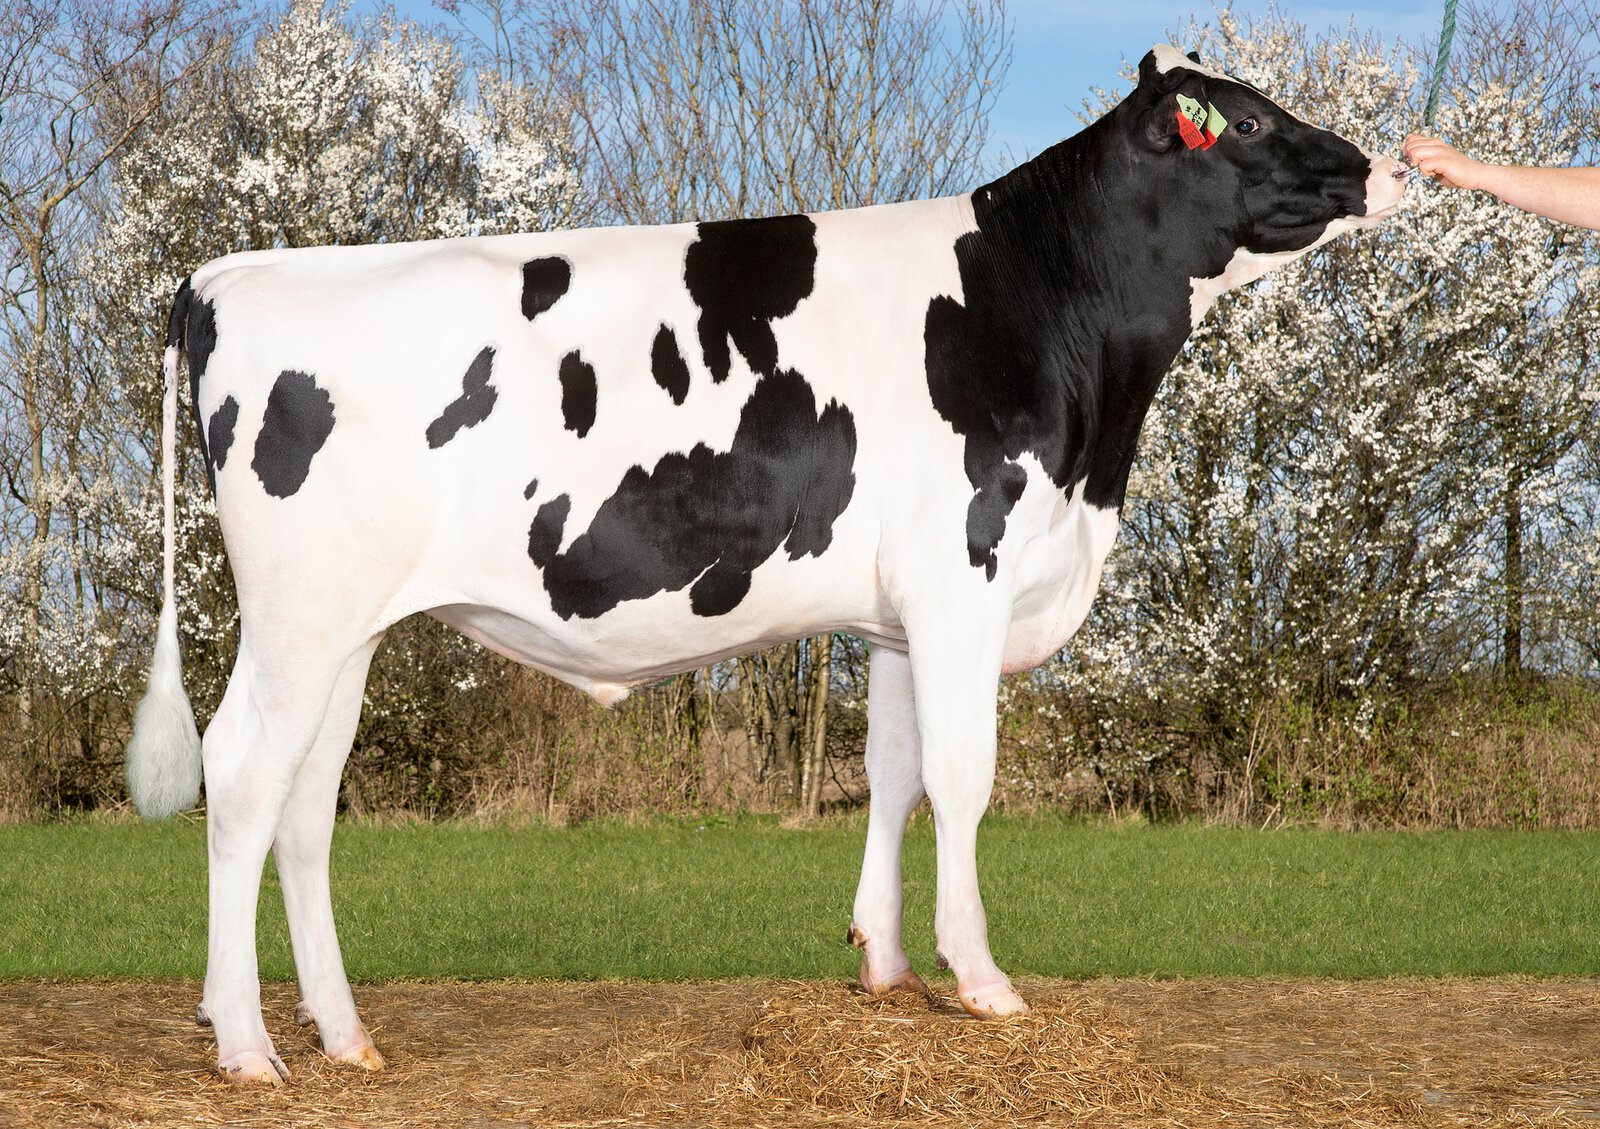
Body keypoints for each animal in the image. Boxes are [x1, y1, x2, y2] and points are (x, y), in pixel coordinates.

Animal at [124, 46, 1407, 1083]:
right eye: (1246, 122)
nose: (1386, 167)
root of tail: (228, 277)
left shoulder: (898, 612)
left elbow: (894, 774)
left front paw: (885, 967)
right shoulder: (963, 577)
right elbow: (963, 778)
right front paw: (981, 979)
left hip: (348, 624)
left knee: (304, 804)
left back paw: (343, 1035)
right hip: (297, 614)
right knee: (242, 775)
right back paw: (245, 1047)